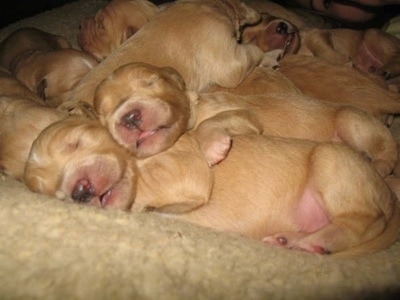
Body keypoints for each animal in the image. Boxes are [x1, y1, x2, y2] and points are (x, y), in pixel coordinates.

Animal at [23, 116, 400, 256]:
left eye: (74, 142)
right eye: (48, 190)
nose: (80, 191)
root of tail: (388, 195)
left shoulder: (183, 167)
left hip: (331, 162)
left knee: (363, 221)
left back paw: (313, 242)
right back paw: (289, 240)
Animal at [93, 62, 396, 177]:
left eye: (151, 82)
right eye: (103, 114)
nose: (130, 118)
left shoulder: (245, 115)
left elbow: (211, 124)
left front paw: (214, 148)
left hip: (350, 120)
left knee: (388, 152)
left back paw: (379, 166)